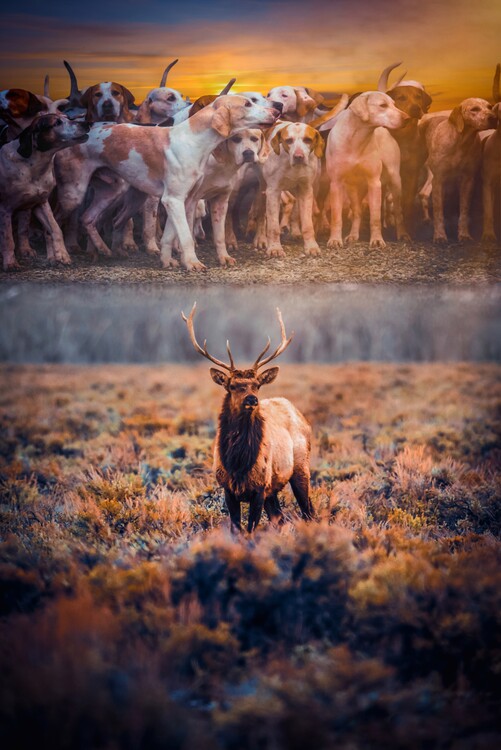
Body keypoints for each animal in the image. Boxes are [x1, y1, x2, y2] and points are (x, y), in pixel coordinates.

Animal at [181, 304, 315, 533]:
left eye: (257, 385)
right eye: (233, 385)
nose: (252, 399)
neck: (238, 464)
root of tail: (300, 415)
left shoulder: (260, 488)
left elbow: (251, 528)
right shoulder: (228, 488)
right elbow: (236, 528)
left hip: (300, 467)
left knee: (309, 512)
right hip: (274, 488)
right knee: (280, 518)